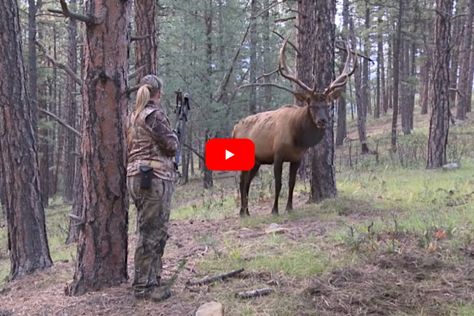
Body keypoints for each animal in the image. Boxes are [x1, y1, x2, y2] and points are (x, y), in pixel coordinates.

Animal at [231, 39, 358, 217]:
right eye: (311, 105)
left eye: (327, 105)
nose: (323, 120)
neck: (298, 139)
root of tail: (234, 128)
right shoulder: (277, 155)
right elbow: (279, 184)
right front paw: (274, 210)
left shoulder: (297, 158)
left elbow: (291, 183)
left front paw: (289, 208)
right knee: (242, 181)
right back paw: (242, 212)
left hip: (256, 161)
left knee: (247, 182)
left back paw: (246, 212)